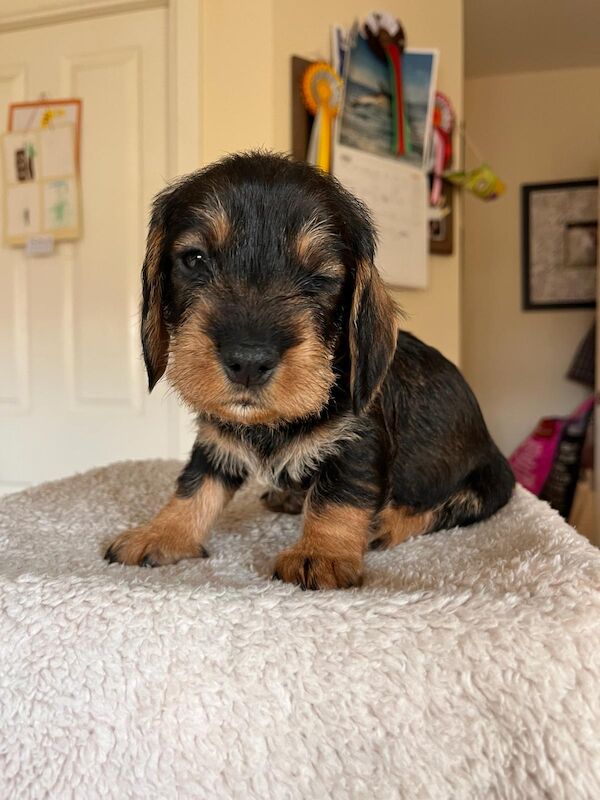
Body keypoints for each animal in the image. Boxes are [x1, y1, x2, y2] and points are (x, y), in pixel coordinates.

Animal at [104, 152, 516, 588]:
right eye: (195, 259)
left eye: (319, 277)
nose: (248, 361)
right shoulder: (217, 440)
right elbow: (194, 487)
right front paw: (160, 533)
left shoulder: (358, 443)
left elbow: (337, 496)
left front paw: (320, 554)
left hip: (489, 482)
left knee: (445, 508)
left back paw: (385, 523)